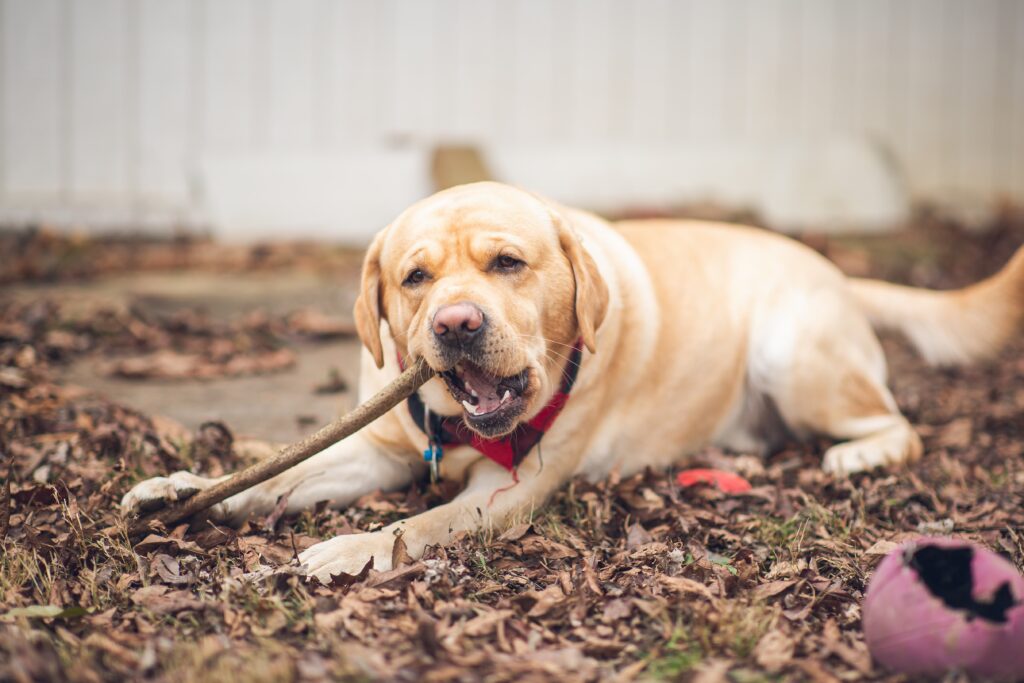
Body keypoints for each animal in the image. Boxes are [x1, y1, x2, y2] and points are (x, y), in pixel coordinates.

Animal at [125, 181, 1024, 581]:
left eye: (507, 263)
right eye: (415, 278)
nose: (456, 324)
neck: (453, 426)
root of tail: (836, 271)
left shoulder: (508, 491)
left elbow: (417, 525)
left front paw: (349, 548)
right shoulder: (379, 448)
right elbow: (278, 472)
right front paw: (181, 489)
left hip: (793, 349)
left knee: (900, 424)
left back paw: (857, 456)